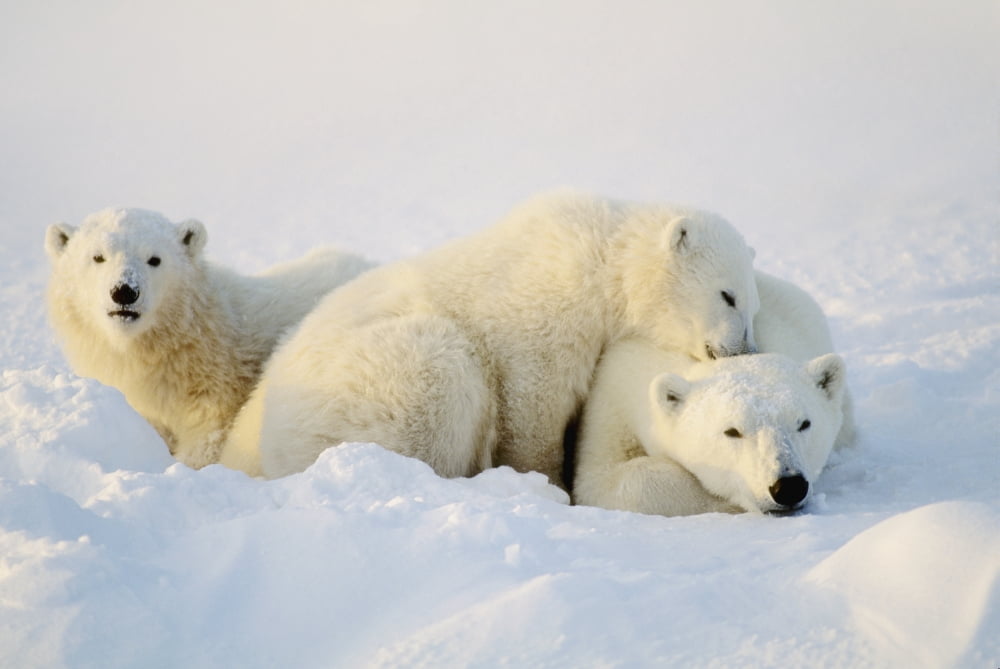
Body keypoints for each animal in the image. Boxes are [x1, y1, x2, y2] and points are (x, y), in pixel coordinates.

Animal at [219, 191, 760, 487]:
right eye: (728, 295)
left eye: (753, 306)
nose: (745, 349)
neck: (603, 259)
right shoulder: (545, 310)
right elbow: (532, 402)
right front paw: (545, 483)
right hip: (367, 385)